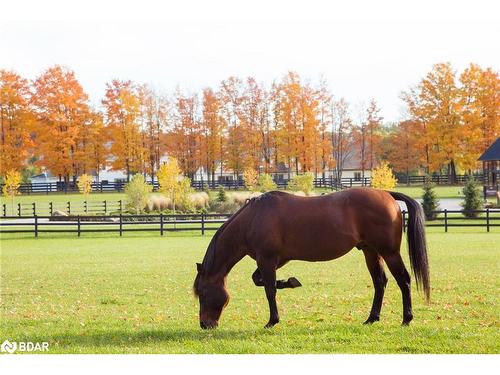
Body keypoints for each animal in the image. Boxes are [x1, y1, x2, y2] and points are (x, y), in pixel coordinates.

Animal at [192, 188, 430, 328]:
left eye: (202, 293)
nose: (205, 324)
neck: (253, 219)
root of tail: (386, 194)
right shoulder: (275, 260)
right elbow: (260, 281)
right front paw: (289, 282)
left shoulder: (267, 259)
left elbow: (268, 290)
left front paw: (272, 321)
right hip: (370, 251)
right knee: (380, 282)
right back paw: (372, 318)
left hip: (389, 252)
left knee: (404, 280)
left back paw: (406, 319)